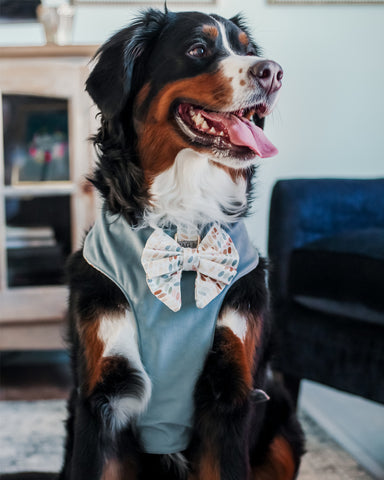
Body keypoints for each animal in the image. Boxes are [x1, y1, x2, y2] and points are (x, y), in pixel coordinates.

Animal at [3, 6, 304, 480]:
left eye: (247, 49)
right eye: (197, 49)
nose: (272, 72)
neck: (184, 228)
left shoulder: (231, 397)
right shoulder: (100, 399)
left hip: (283, 427)